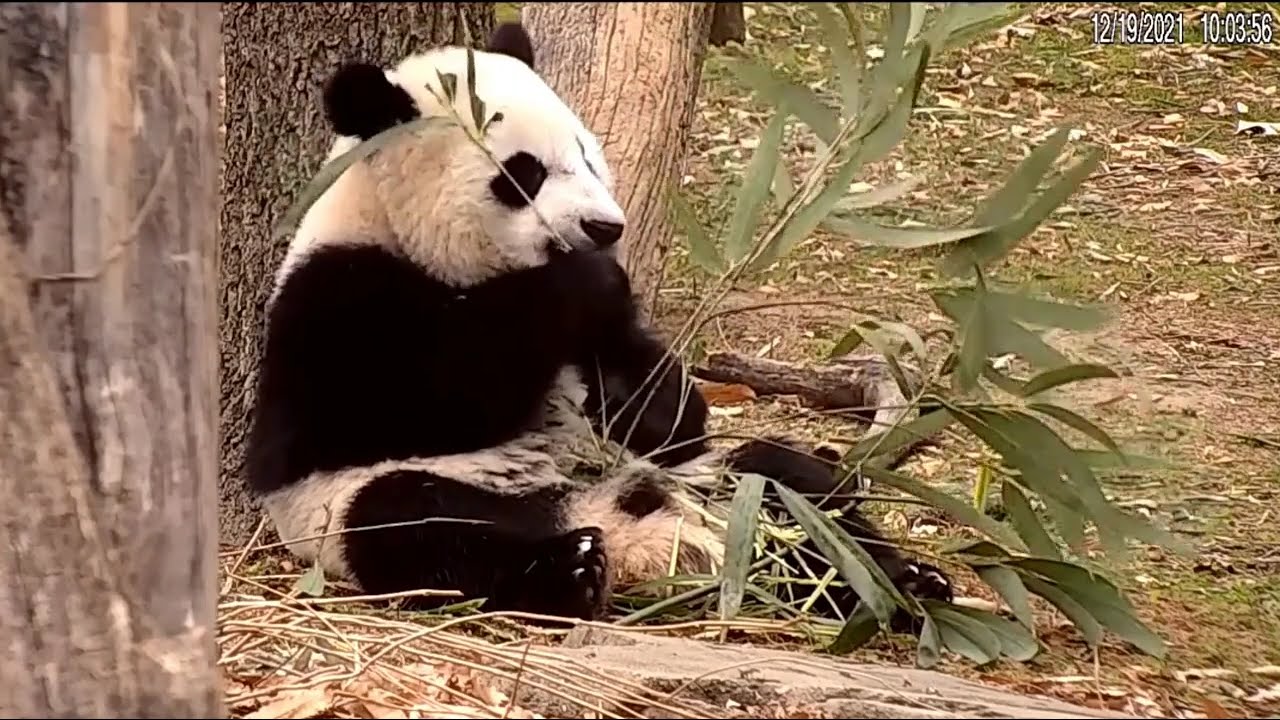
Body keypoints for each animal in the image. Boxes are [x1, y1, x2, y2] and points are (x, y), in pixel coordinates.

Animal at [245, 21, 953, 627]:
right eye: (522, 174)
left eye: (585, 153)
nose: (605, 227)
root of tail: (632, 532)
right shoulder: (340, 297)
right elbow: (423, 400)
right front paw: (586, 282)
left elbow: (660, 403)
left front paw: (648, 391)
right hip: (359, 506)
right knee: (416, 525)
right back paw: (572, 570)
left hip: (717, 483)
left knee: (788, 481)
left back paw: (892, 581)